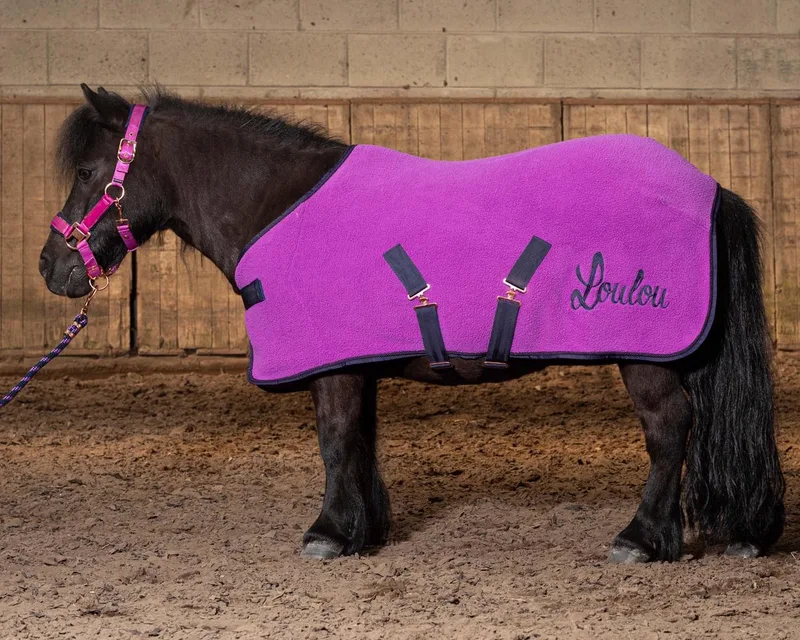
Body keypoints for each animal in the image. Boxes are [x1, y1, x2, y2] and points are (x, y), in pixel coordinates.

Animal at [37, 85, 785, 563]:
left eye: (89, 171)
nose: (52, 267)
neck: (279, 205)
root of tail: (707, 187)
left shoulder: (332, 367)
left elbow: (335, 440)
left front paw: (328, 534)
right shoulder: (352, 361)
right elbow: (360, 440)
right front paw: (362, 531)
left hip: (646, 356)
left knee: (670, 429)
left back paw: (640, 538)